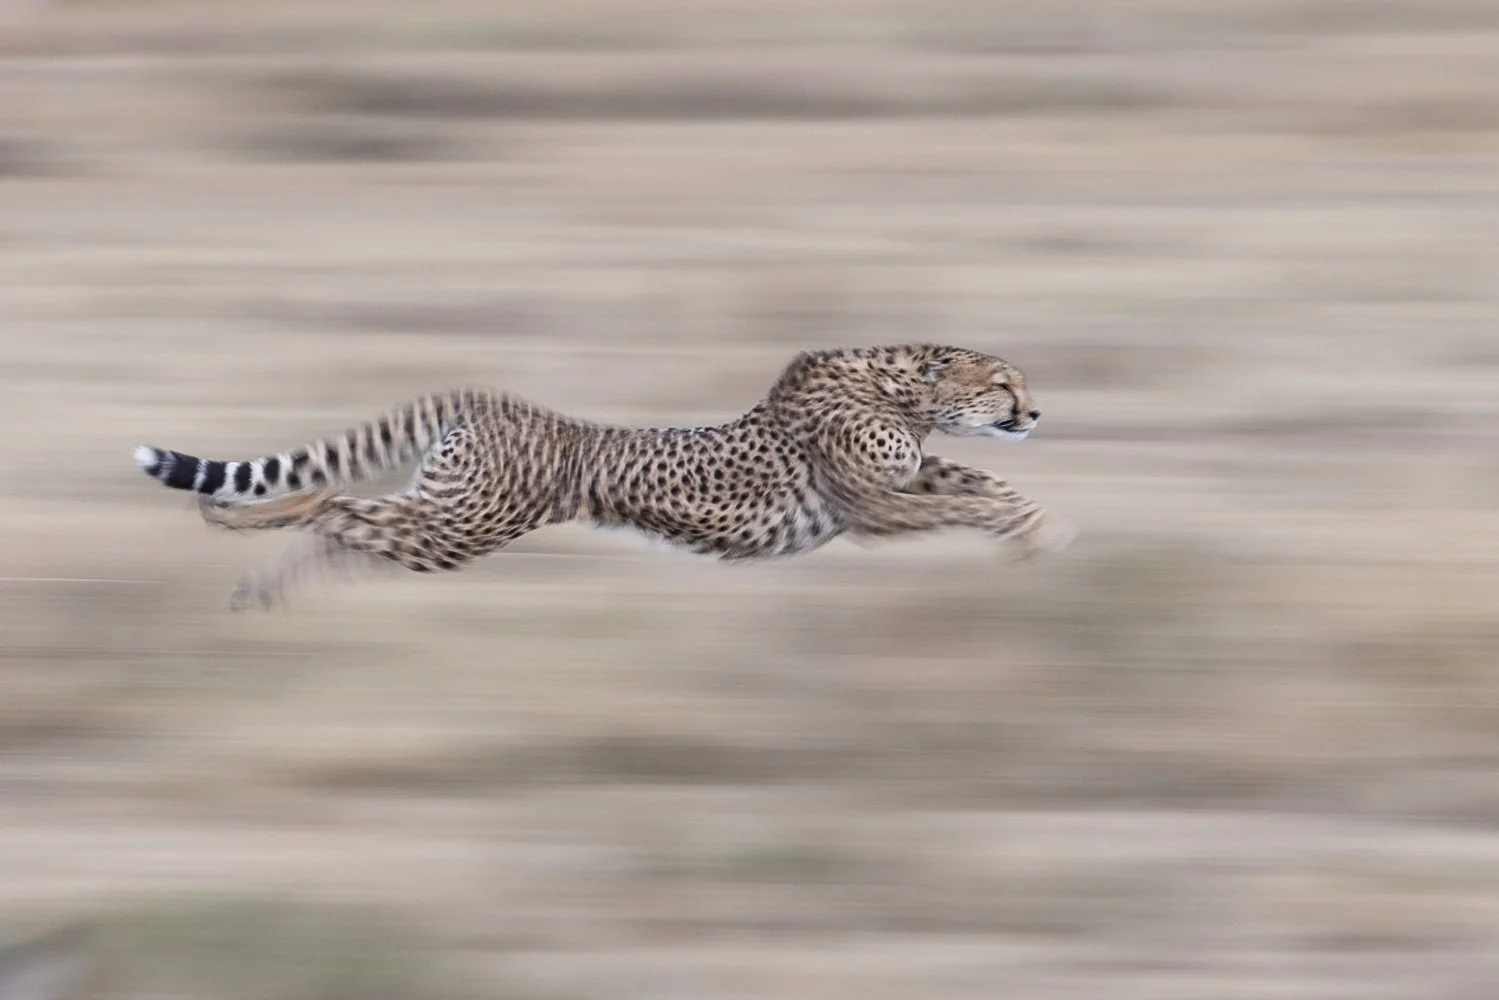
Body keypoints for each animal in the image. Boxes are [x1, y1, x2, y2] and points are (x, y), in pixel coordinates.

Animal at [132, 344, 1075, 610]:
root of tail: (501, 400)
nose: (1033, 414)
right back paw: (231, 520)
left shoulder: (898, 482)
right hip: (459, 528)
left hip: (443, 519)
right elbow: (963, 502)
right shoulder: (873, 507)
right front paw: (1023, 532)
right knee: (332, 500)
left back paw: (255, 572)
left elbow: (976, 485)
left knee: (348, 525)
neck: (902, 387)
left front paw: (1038, 527)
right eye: (1004, 385)